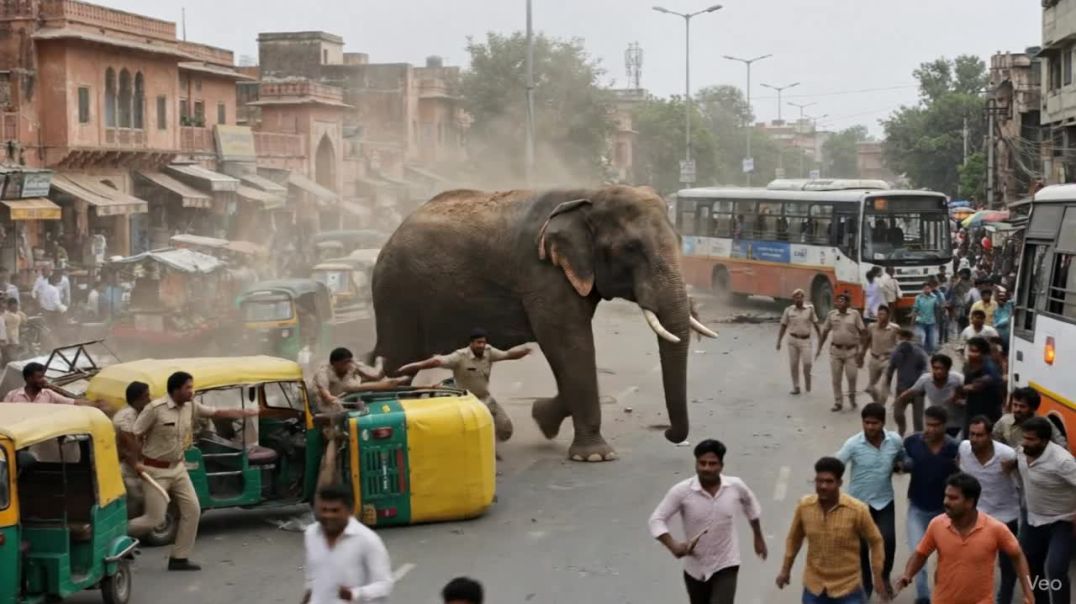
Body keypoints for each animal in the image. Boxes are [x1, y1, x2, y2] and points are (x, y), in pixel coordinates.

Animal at [370, 185, 717, 462]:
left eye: (680, 240)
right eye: (632, 248)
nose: (669, 433)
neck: (590, 193)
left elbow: (568, 354)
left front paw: (542, 418)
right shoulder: (541, 274)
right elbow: (568, 343)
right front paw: (595, 456)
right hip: (396, 295)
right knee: (399, 360)